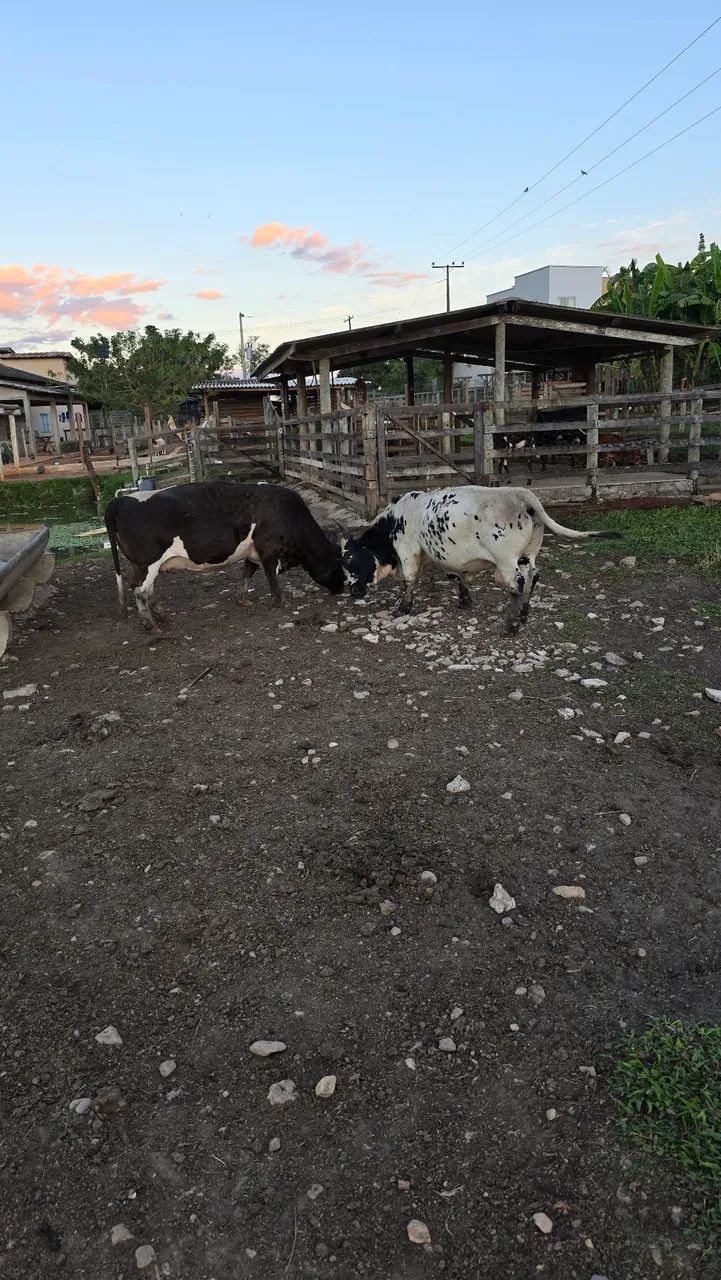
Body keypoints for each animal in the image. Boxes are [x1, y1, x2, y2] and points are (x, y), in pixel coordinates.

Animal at [105, 481, 345, 631]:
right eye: (339, 564)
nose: (342, 589)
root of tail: (120, 501)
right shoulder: (269, 551)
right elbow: (272, 577)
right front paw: (281, 602)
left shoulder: (252, 553)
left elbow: (247, 573)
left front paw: (244, 599)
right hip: (148, 562)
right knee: (140, 589)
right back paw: (151, 625)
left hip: (145, 565)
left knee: (147, 589)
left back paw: (161, 616)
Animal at [340, 486, 620, 633]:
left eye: (350, 560)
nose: (353, 591)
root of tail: (521, 494)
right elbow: (458, 576)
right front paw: (464, 599)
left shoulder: (407, 550)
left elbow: (409, 580)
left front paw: (403, 607)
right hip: (528, 556)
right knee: (532, 578)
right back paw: (524, 615)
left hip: (506, 560)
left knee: (516, 584)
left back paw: (512, 624)